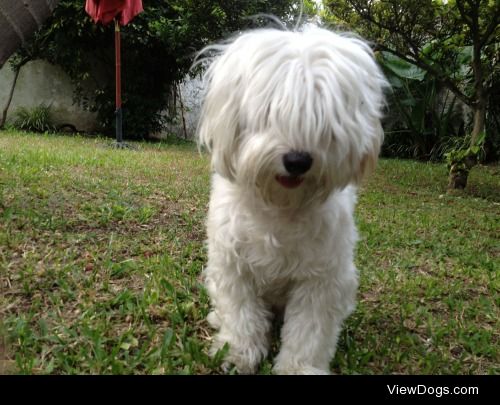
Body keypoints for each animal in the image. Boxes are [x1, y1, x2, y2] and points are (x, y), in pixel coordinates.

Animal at [195, 23, 386, 374]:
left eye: (323, 119)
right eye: (270, 111)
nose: (297, 161)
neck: (280, 205)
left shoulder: (322, 280)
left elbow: (309, 331)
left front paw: (298, 367)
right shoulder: (232, 264)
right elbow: (240, 314)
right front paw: (238, 352)